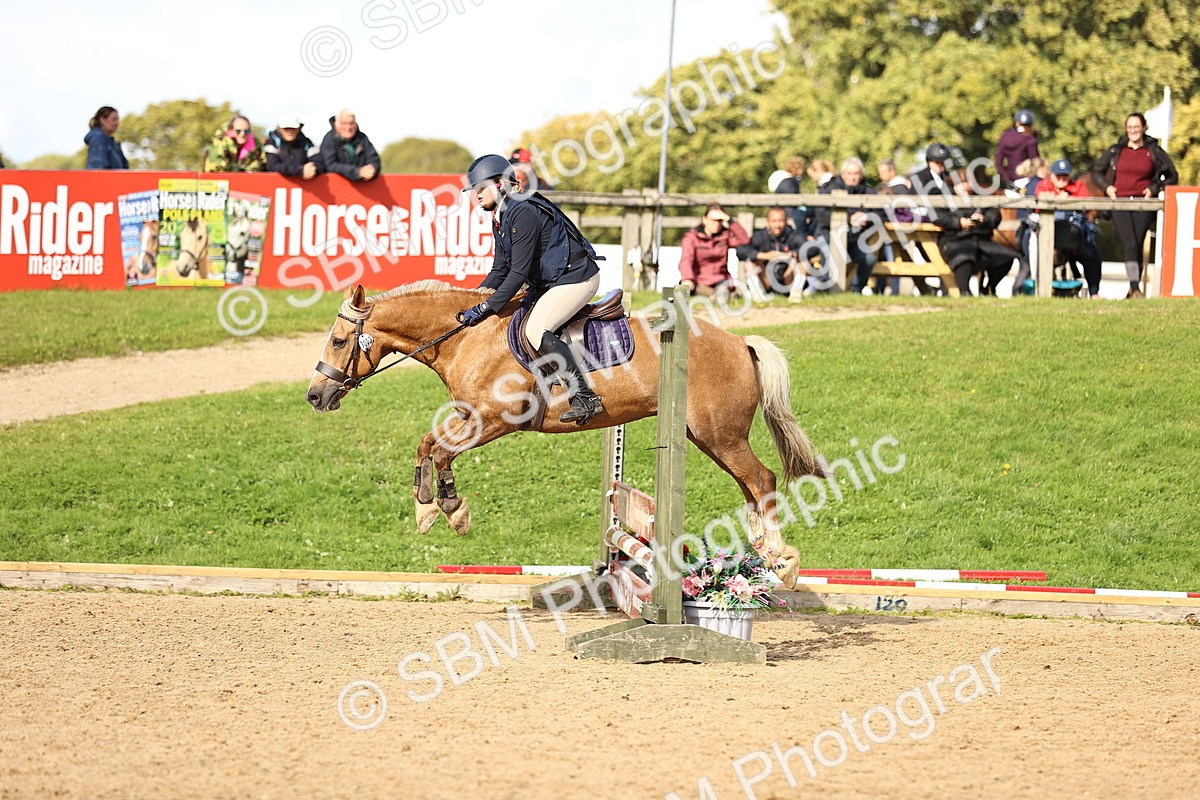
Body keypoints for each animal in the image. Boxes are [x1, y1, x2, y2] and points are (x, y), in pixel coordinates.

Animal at [305, 281, 821, 588]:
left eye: (338, 340)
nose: (315, 396)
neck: (466, 337)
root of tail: (741, 342)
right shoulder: (470, 415)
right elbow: (429, 445)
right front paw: (432, 509)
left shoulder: (496, 419)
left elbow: (443, 449)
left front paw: (450, 511)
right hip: (707, 437)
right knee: (752, 487)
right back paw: (760, 559)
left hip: (720, 435)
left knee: (761, 481)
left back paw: (781, 563)